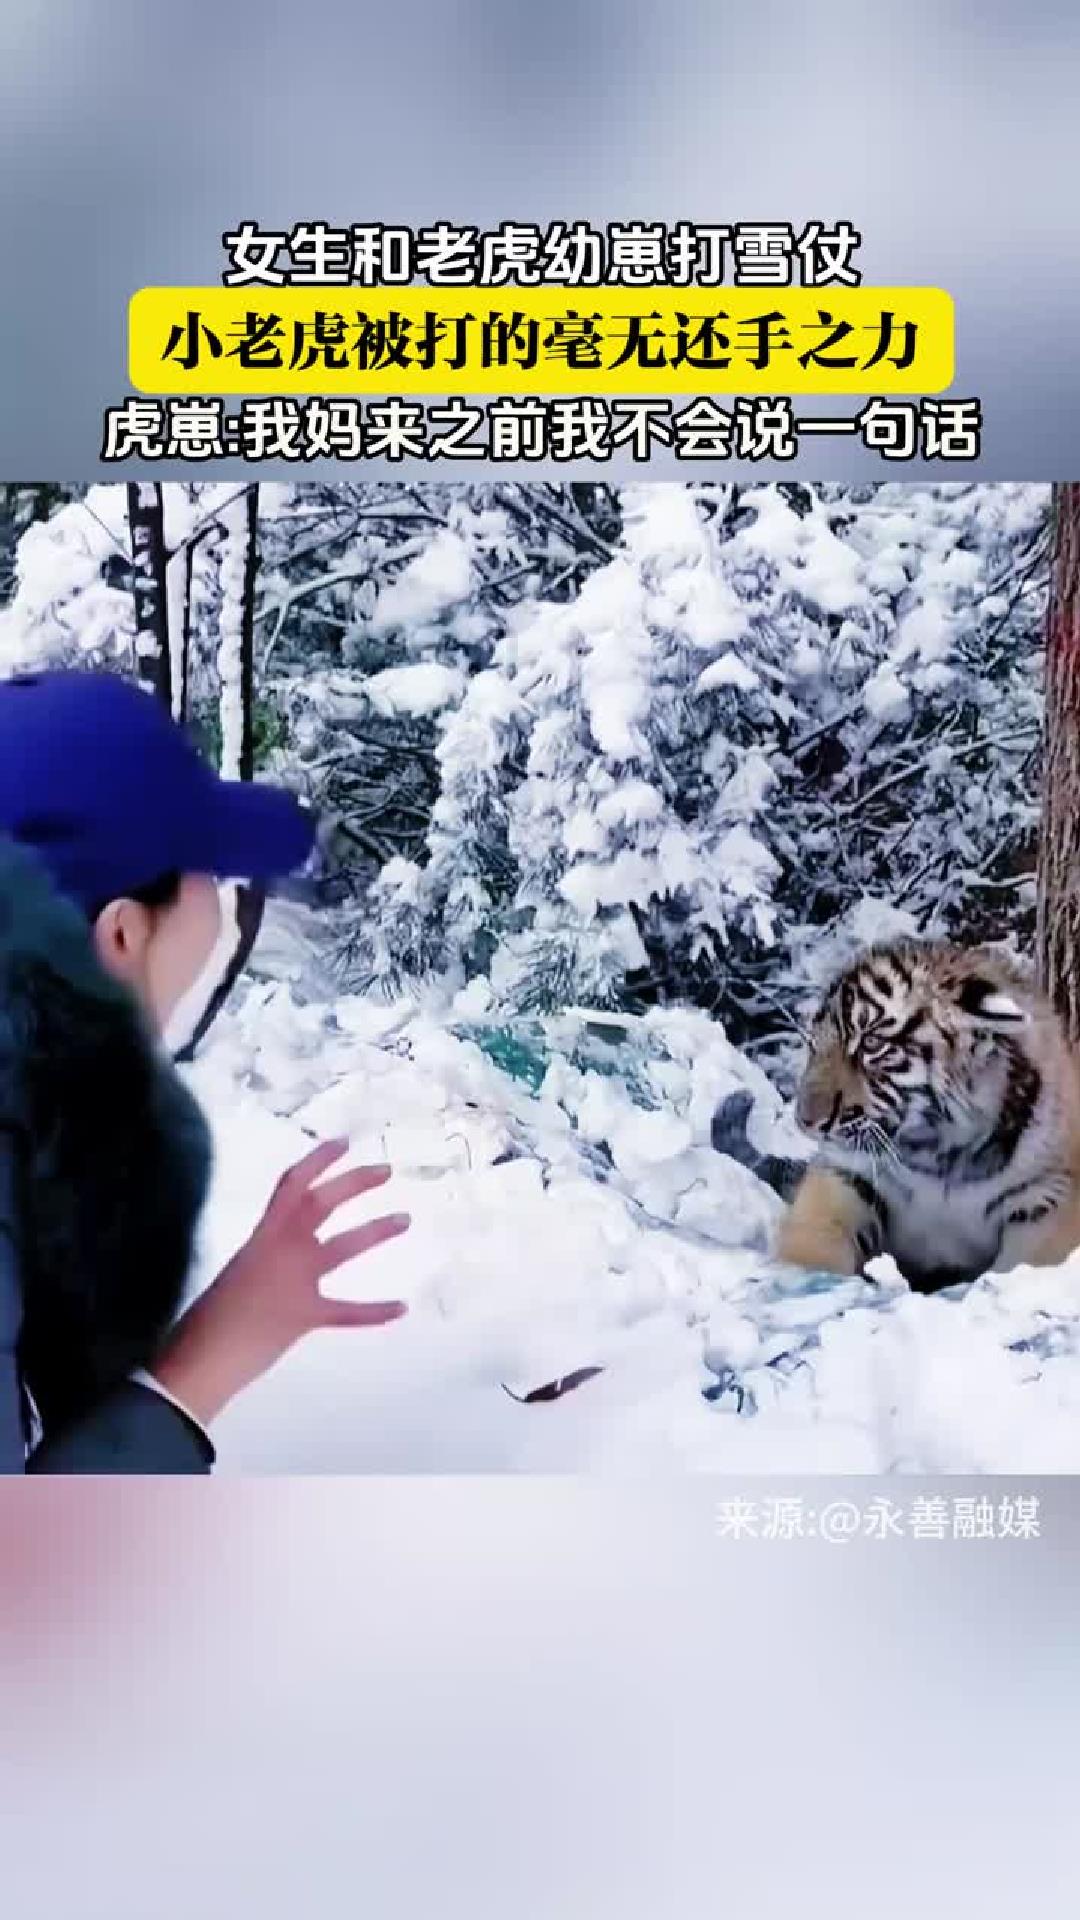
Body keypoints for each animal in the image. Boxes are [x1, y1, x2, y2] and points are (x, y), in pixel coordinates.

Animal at [713, 939, 1080, 1293]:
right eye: (815, 1043)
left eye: (872, 1043)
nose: (805, 1122)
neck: (940, 1154)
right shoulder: (847, 1177)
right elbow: (814, 1241)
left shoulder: (1047, 1199)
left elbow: (1027, 1266)